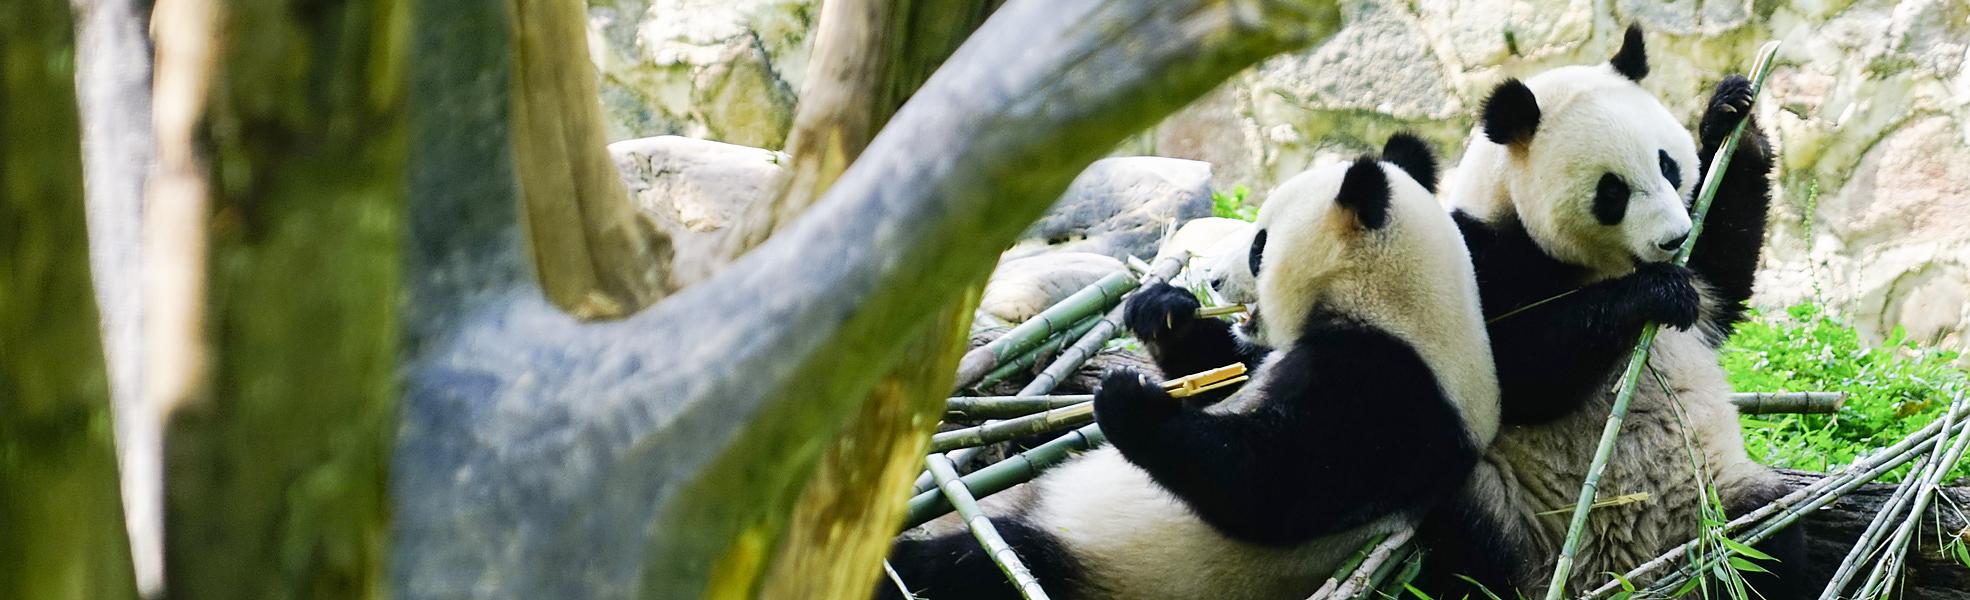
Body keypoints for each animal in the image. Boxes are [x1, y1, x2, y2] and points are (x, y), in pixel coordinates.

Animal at [883, 136, 1501, 600]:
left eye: (1258, 244)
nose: (1216, 281)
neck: (1403, 306)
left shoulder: (1389, 394)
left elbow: (1269, 485)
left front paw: (1130, 402)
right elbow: (1221, 368)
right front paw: (1163, 310)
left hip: (1086, 561)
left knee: (968, 567)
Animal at [1410, 25, 1813, 598]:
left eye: (1667, 164)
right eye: (1612, 191)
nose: (1674, 239)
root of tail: (1624, 566)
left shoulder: (1705, 272)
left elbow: (1723, 265)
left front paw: (1732, 112)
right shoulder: (1480, 257)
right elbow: (1517, 371)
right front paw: (1657, 292)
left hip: (1713, 499)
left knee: (1764, 533)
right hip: (1506, 512)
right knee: (1466, 549)